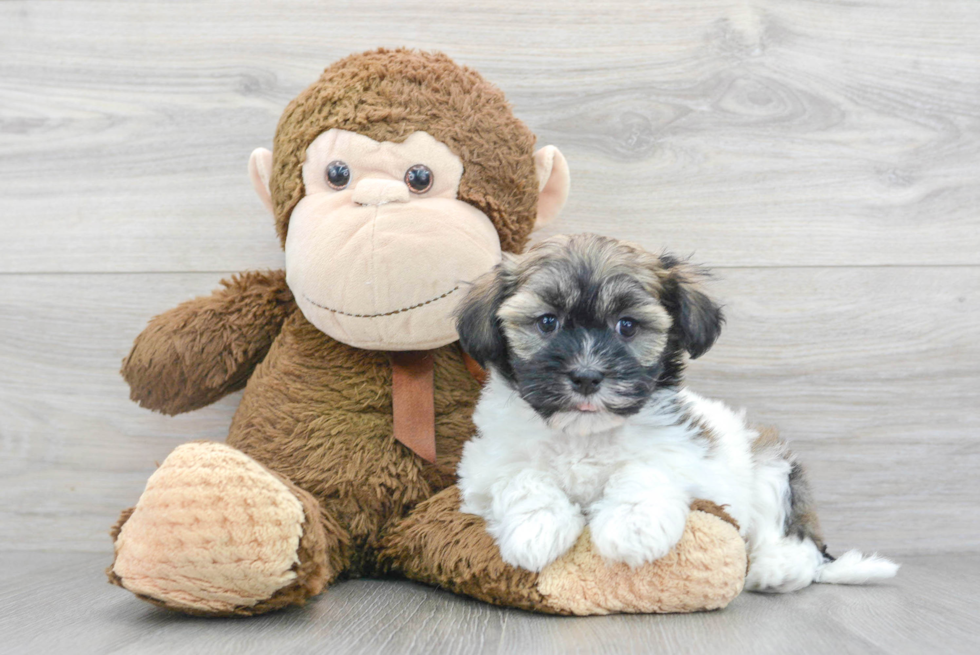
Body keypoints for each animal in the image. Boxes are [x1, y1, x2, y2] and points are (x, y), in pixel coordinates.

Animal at [452, 234, 896, 596]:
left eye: (627, 326)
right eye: (547, 322)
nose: (587, 376)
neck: (585, 433)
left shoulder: (681, 451)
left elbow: (644, 469)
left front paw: (632, 525)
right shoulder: (484, 466)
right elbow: (521, 477)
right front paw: (537, 527)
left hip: (770, 466)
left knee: (793, 540)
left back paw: (775, 570)